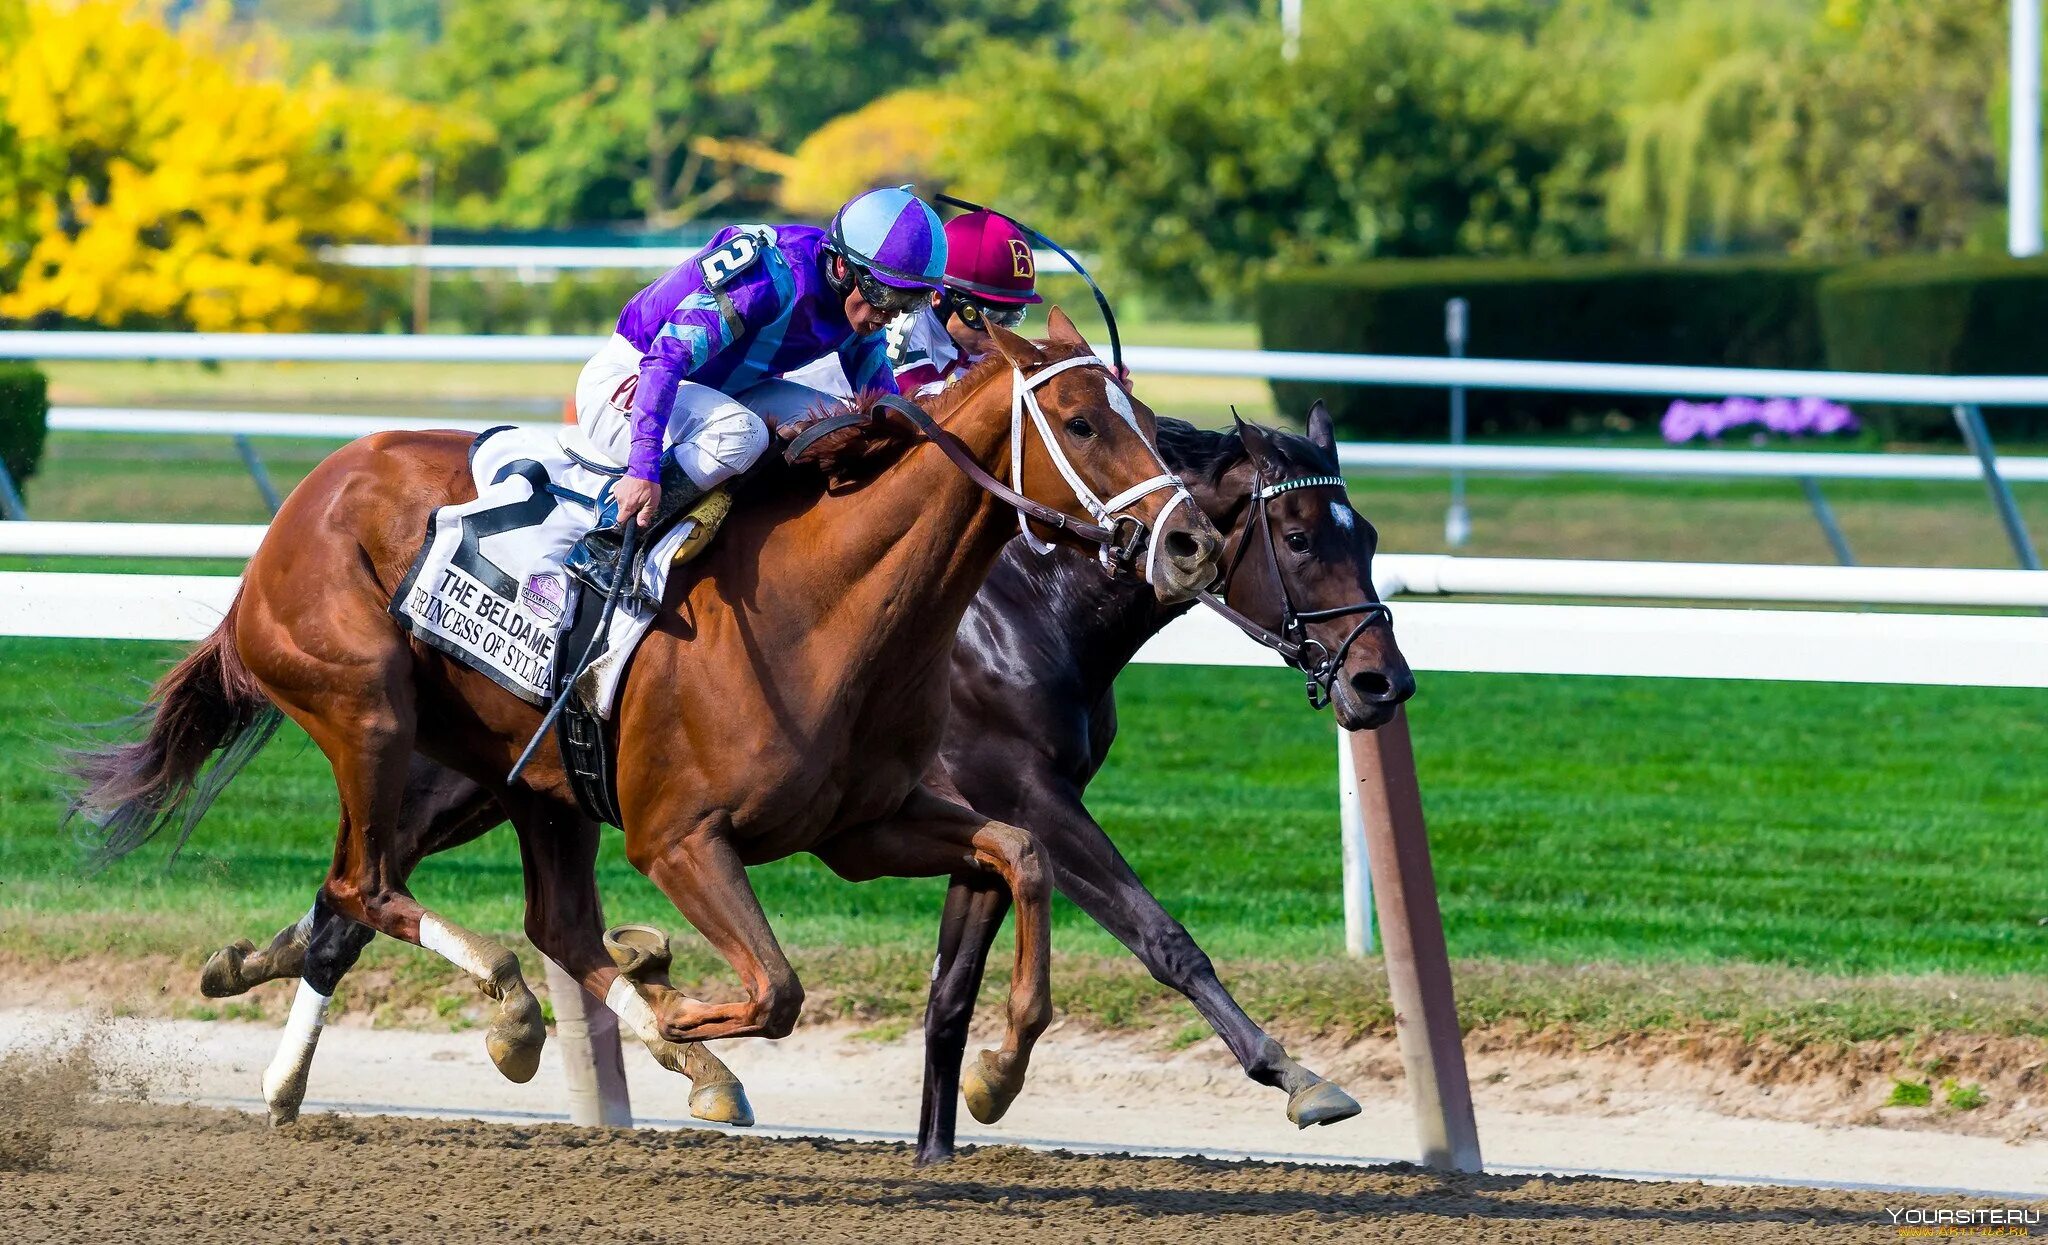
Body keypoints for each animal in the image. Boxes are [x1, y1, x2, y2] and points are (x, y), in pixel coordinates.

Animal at [72, 313, 1220, 1130]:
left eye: (1149, 418)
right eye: (1081, 424)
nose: (1193, 544)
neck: (827, 601)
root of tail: (296, 508)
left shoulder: (863, 826)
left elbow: (1019, 852)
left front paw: (997, 1068)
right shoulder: (680, 838)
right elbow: (777, 990)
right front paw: (668, 1008)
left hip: (530, 775)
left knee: (527, 920)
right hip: (368, 712)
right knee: (370, 886)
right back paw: (513, 1009)